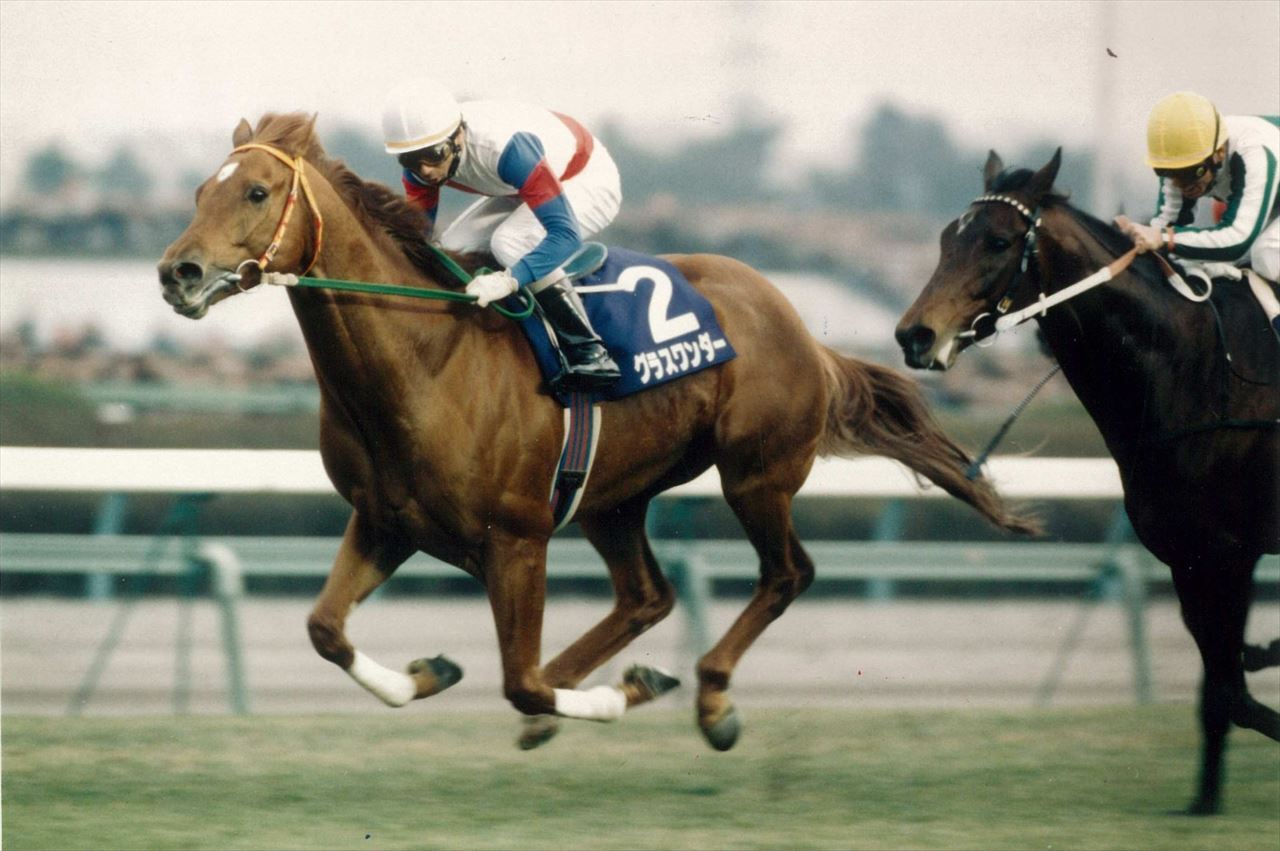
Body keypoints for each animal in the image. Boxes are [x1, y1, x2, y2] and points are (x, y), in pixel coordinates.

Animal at [158, 112, 1034, 752]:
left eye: (257, 192)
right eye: (201, 189)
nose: (177, 273)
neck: (427, 357)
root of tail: (797, 325)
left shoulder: (516, 540)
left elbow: (516, 677)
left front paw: (609, 696)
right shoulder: (385, 520)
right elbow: (325, 630)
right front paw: (431, 672)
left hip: (757, 474)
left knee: (787, 573)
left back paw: (707, 696)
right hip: (615, 498)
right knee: (647, 595)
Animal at [895, 148, 1280, 814]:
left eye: (998, 240)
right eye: (947, 238)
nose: (915, 336)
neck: (1200, 370)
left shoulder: (1231, 552)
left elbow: (1232, 691)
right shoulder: (1187, 554)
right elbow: (1223, 693)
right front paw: (1203, 803)